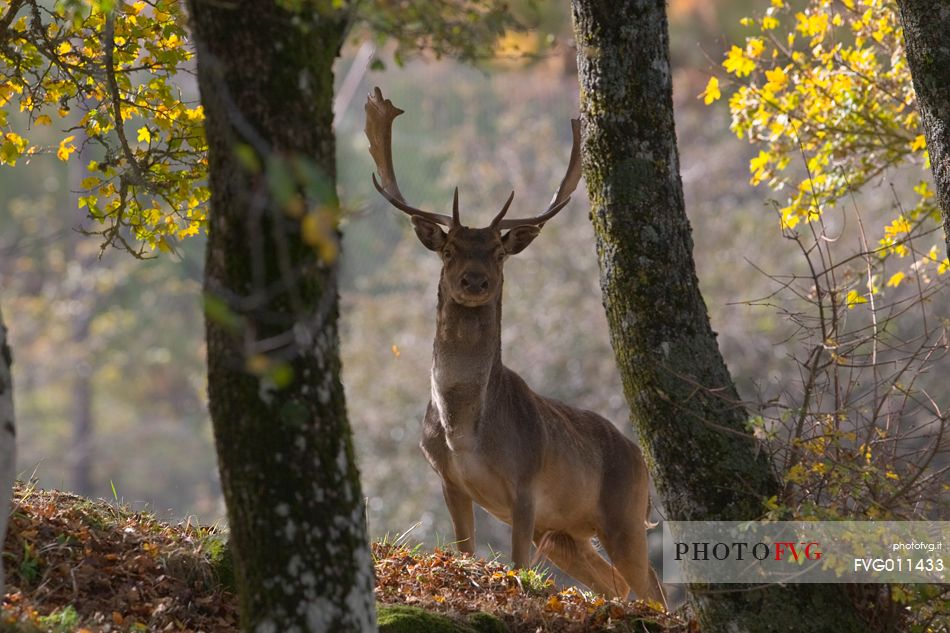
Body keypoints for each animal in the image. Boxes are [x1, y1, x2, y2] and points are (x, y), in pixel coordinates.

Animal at [364, 86, 668, 604]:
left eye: (498, 252)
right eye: (449, 250)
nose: (475, 280)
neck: (463, 430)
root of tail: (642, 459)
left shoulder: (526, 483)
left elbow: (518, 563)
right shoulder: (449, 480)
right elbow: (466, 551)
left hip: (625, 514)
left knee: (652, 586)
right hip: (567, 534)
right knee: (616, 583)